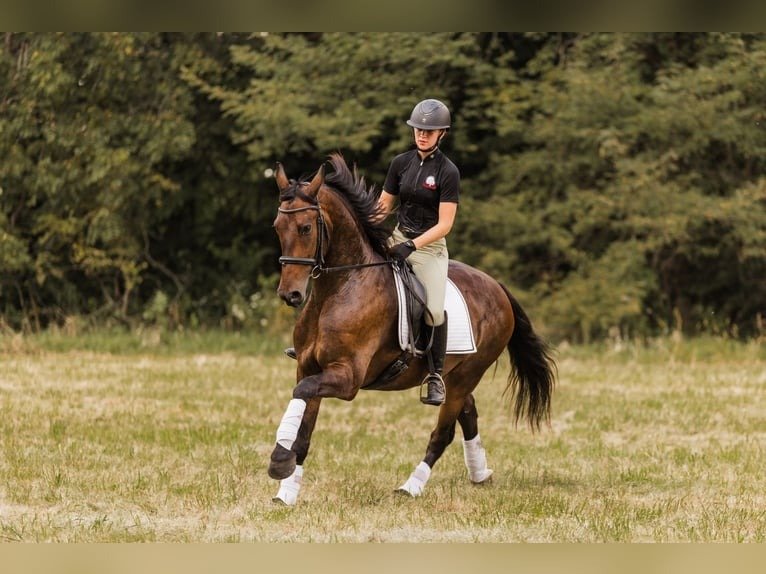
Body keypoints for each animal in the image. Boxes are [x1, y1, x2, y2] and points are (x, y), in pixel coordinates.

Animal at [268, 153, 556, 505]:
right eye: (277, 227)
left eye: (306, 228)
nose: (290, 295)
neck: (341, 287)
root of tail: (497, 287)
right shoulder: (308, 367)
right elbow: (304, 429)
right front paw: (286, 491)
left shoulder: (347, 378)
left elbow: (302, 395)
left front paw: (278, 461)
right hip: (455, 376)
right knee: (468, 412)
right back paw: (480, 474)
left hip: (467, 373)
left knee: (444, 432)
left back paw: (412, 486)